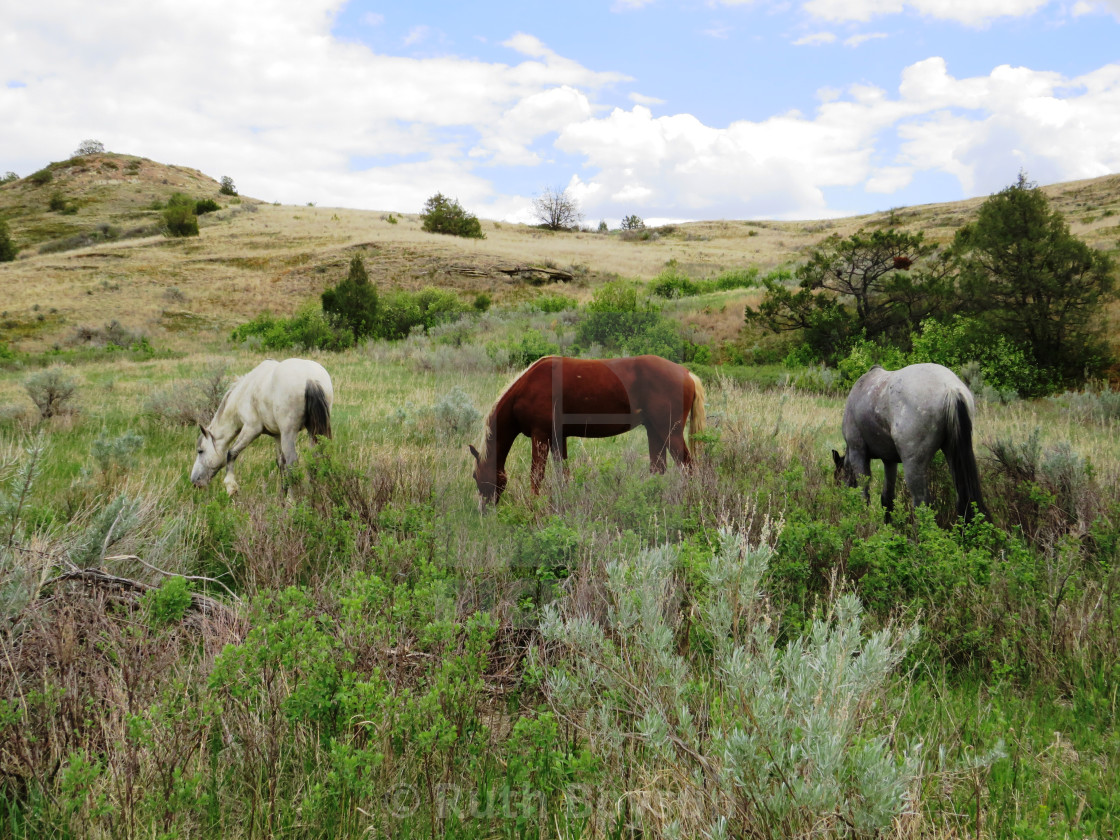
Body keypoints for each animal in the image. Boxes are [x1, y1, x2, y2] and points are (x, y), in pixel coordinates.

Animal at [190, 358, 331, 497]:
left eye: (200, 451)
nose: (194, 481)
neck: (245, 391)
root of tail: (309, 379)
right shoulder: (277, 435)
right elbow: (281, 462)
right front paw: (282, 494)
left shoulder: (251, 429)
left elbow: (231, 453)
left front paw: (231, 487)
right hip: (312, 432)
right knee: (314, 458)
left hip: (289, 433)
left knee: (293, 463)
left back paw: (292, 499)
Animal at [472, 356, 707, 506]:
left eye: (475, 476)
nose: (484, 509)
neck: (526, 388)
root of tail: (687, 373)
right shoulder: (558, 438)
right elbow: (563, 474)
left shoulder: (540, 436)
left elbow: (536, 475)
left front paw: (533, 507)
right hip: (655, 432)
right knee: (658, 469)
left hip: (669, 433)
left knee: (688, 468)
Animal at [833, 362, 990, 524]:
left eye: (837, 478)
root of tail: (950, 388)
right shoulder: (889, 461)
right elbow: (887, 498)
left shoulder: (858, 452)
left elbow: (863, 495)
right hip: (952, 453)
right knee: (961, 500)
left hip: (913, 465)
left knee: (921, 504)